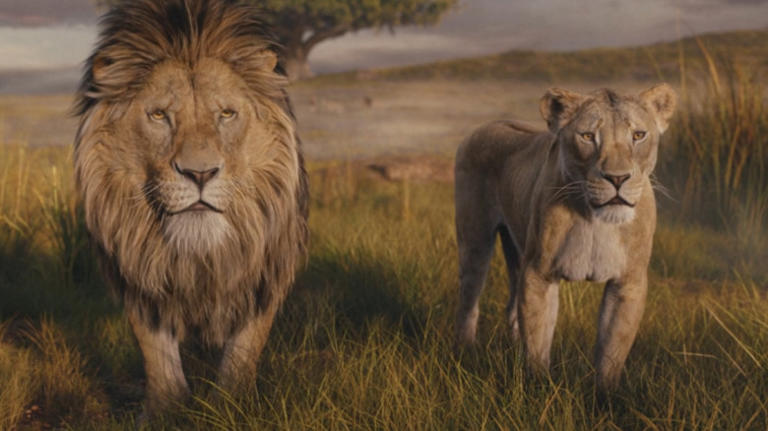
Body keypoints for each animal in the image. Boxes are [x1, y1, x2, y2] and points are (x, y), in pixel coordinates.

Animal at [73, 0, 308, 415]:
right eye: (159, 115)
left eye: (226, 114)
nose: (200, 174)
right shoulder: (136, 265)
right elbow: (155, 349)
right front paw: (165, 408)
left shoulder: (264, 266)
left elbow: (245, 346)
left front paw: (233, 404)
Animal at [454, 84, 676, 390]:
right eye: (588, 137)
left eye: (638, 135)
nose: (617, 179)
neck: (597, 221)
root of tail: (489, 124)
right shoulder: (539, 274)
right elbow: (538, 343)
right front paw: (539, 390)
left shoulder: (628, 283)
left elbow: (612, 352)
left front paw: (605, 397)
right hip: (474, 240)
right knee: (468, 301)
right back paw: (464, 351)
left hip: (517, 248)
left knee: (511, 308)